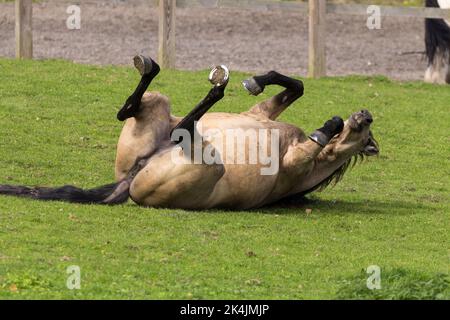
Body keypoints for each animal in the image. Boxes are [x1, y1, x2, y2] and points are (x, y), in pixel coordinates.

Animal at [0, 55, 380, 210]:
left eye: (366, 133)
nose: (365, 114)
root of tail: (129, 181)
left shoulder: (297, 162)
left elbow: (324, 130)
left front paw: (330, 127)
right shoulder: (260, 113)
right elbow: (295, 86)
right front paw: (255, 80)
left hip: (210, 163)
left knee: (183, 127)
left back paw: (212, 91)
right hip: (159, 104)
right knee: (132, 108)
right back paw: (159, 70)